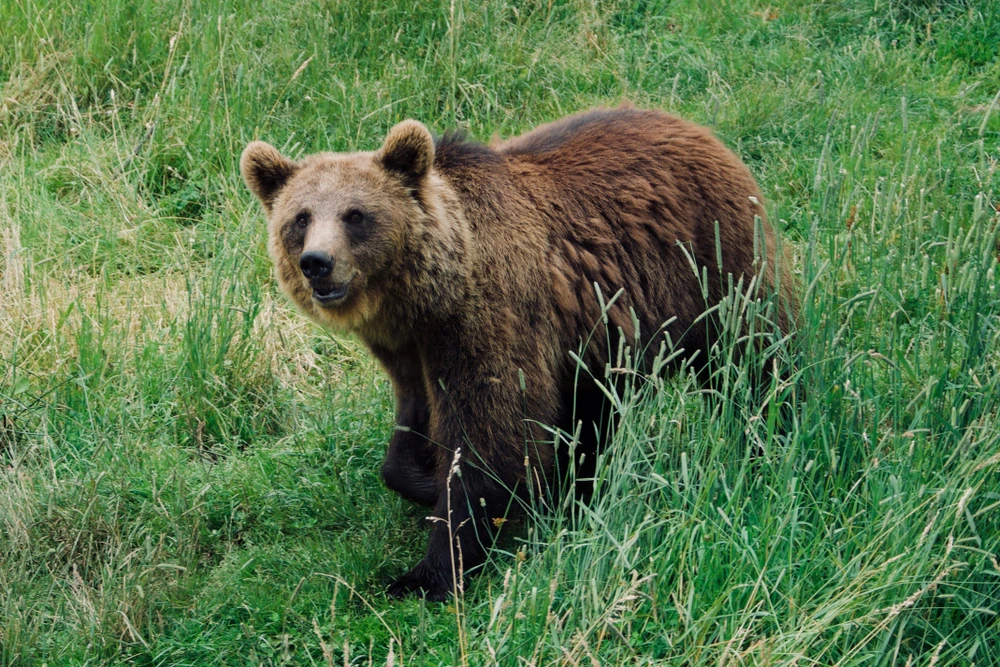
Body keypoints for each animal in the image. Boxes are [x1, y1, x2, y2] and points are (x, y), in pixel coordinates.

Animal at [240, 107, 796, 604]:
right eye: (300, 218)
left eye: (355, 215)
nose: (317, 263)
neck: (428, 296)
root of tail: (699, 130)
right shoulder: (409, 347)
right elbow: (413, 422)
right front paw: (422, 479)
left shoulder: (487, 319)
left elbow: (489, 437)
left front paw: (427, 573)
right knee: (594, 412)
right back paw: (579, 485)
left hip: (713, 264)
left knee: (754, 361)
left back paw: (769, 437)